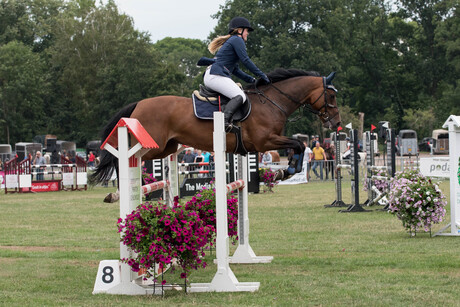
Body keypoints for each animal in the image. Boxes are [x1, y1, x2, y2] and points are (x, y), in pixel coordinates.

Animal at [90, 69, 342, 202]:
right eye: (331, 96)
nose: (337, 123)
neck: (272, 101)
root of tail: (138, 105)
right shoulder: (264, 141)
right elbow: (298, 144)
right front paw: (286, 170)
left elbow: (298, 147)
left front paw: (284, 171)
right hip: (152, 145)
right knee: (123, 159)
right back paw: (121, 192)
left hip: (167, 148)